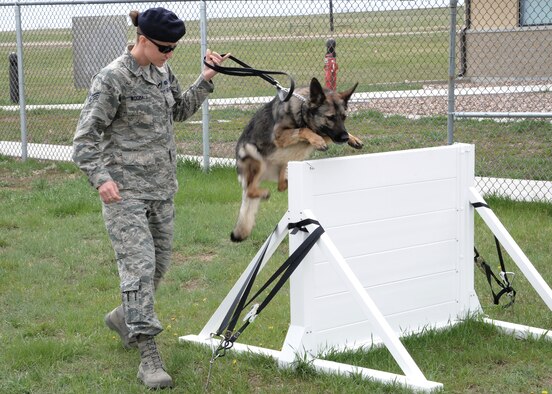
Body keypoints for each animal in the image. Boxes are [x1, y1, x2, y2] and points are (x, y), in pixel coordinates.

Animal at [231, 76, 364, 243]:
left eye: (344, 117)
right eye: (330, 117)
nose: (344, 137)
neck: (302, 110)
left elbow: (321, 133)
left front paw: (353, 139)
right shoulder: (280, 135)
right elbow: (304, 129)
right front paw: (318, 140)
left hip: (285, 162)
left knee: (280, 186)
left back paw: (287, 182)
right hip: (254, 155)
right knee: (250, 190)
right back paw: (263, 192)